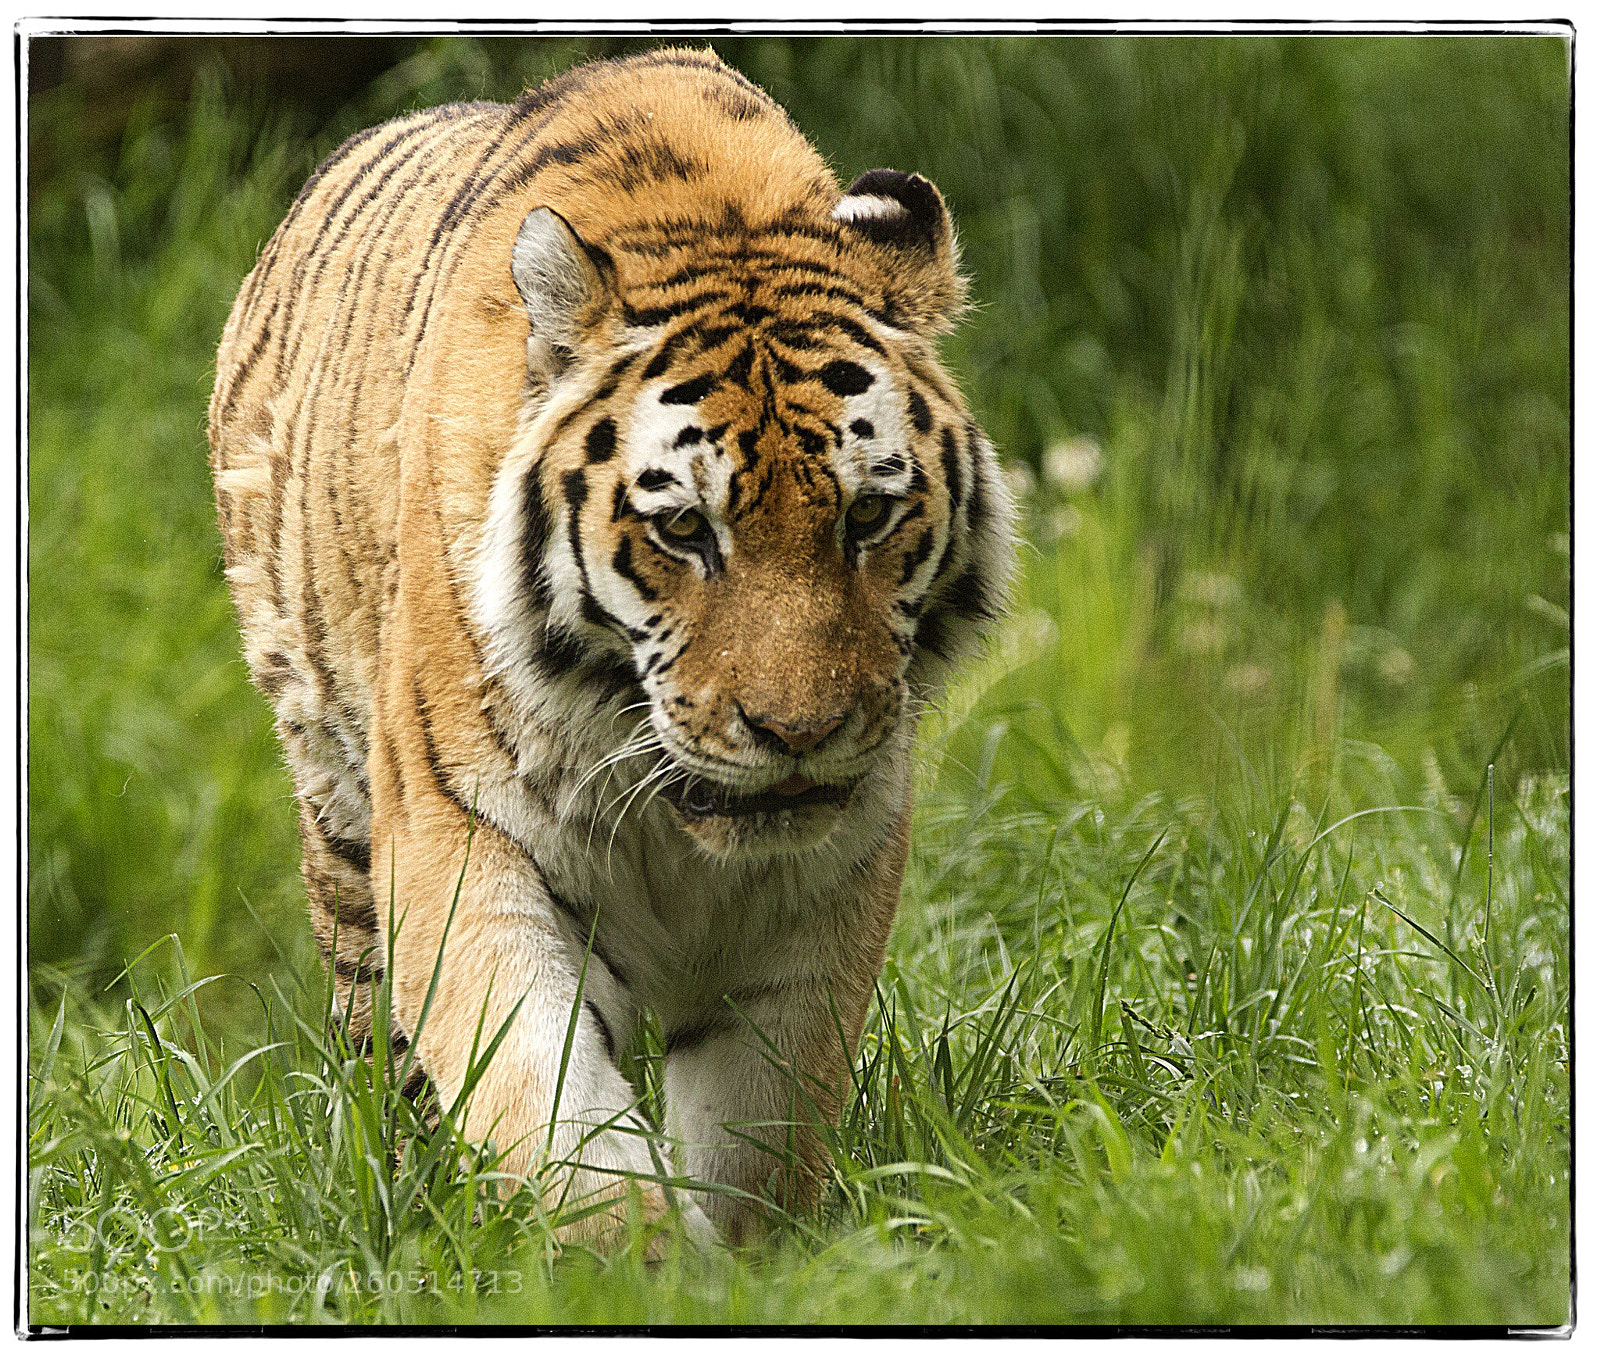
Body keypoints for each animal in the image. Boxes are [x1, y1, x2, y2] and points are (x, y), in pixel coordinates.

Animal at [207, 46, 1015, 1247]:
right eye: (684, 529)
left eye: (867, 516)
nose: (799, 732)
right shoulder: (458, 839)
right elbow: (548, 1110)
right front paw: (628, 1257)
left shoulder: (834, 876)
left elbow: (760, 1126)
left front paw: (752, 1259)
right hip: (336, 806)